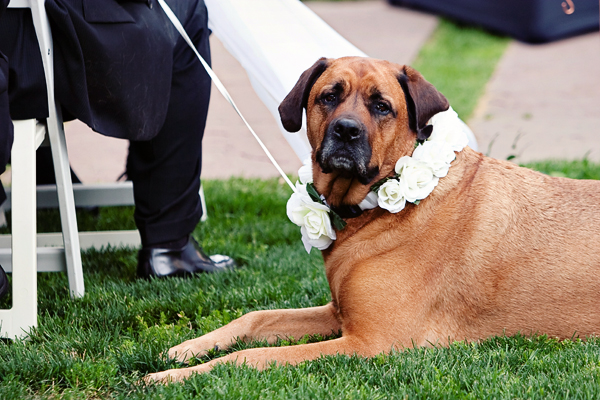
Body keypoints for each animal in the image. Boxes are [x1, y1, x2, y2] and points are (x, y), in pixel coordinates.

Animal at [145, 57, 600, 382]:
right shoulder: (339, 313)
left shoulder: (370, 342)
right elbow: (255, 318)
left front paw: (176, 376)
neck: (376, 208)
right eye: (329, 96)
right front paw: (187, 349)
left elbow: (249, 358)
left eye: (382, 106)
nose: (346, 131)